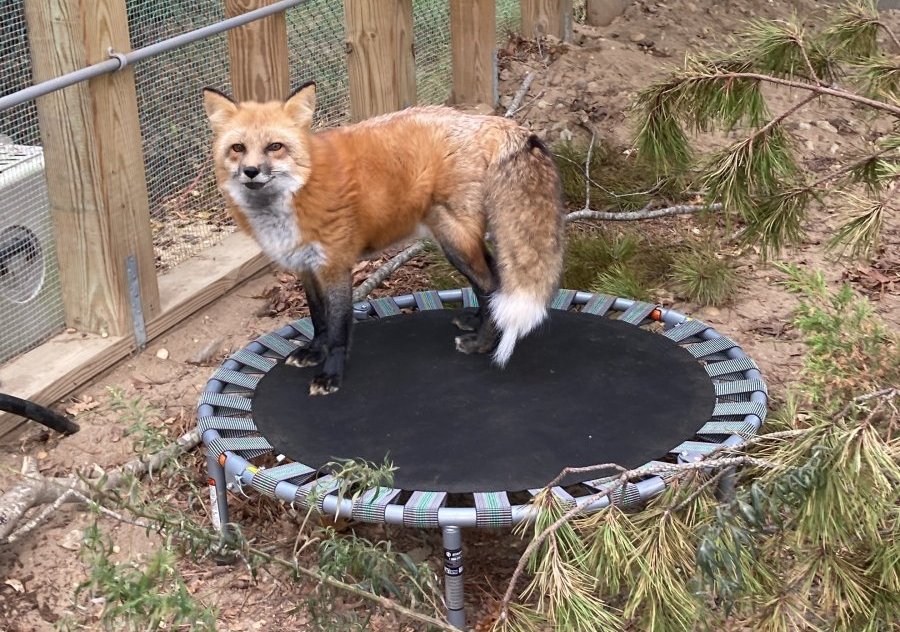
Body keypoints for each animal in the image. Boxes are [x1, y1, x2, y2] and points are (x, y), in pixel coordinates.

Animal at [206, 81, 564, 392]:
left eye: (275, 147)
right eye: (238, 148)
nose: (251, 171)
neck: (299, 192)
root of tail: (487, 120)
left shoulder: (335, 266)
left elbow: (338, 328)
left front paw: (331, 375)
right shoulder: (305, 267)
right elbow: (319, 319)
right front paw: (313, 351)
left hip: (453, 238)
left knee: (492, 285)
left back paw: (482, 344)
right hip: (457, 241)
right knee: (493, 281)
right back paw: (476, 321)